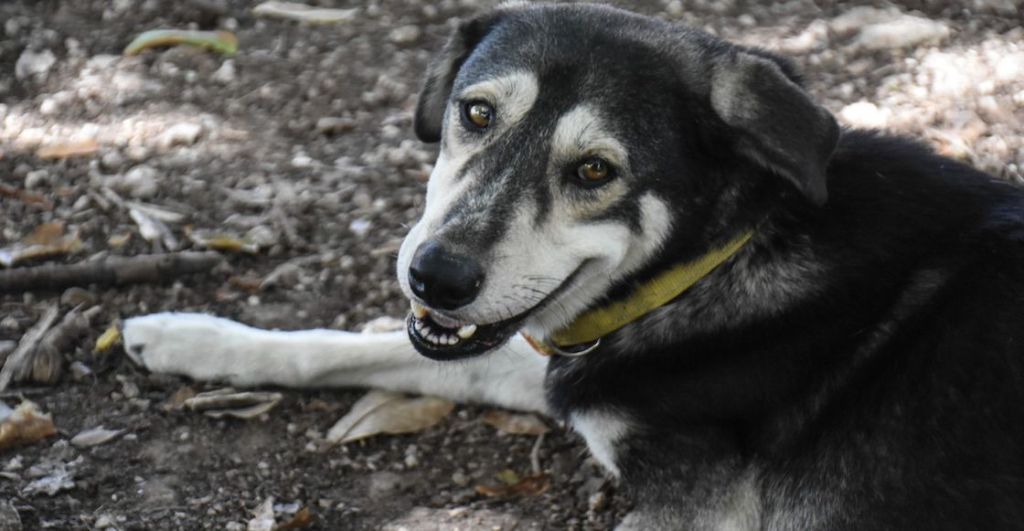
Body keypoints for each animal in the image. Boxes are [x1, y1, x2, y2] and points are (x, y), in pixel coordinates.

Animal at [123, 4, 1024, 531]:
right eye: (475, 112)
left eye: (595, 170)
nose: (436, 277)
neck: (714, 259)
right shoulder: (564, 361)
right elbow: (363, 346)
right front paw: (190, 337)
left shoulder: (702, 511)